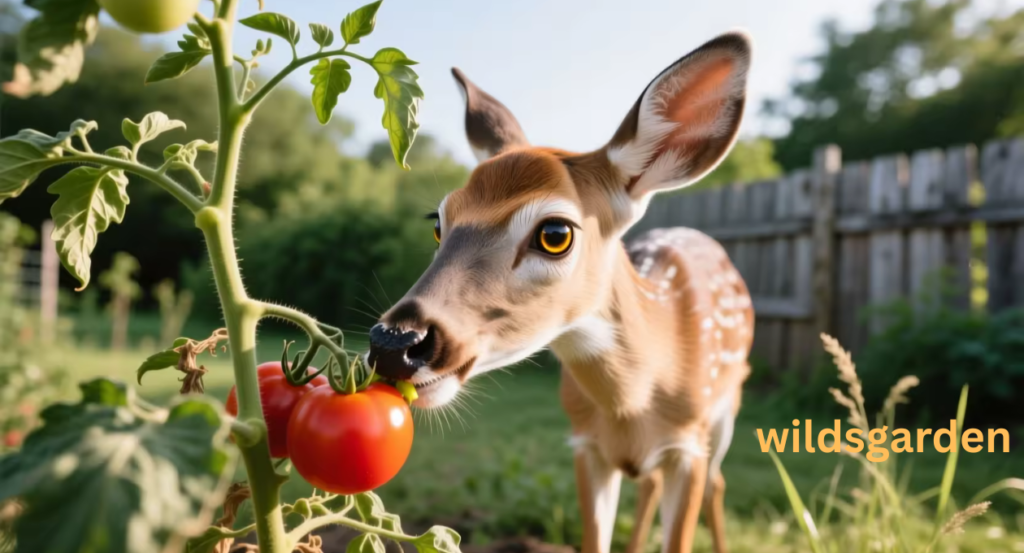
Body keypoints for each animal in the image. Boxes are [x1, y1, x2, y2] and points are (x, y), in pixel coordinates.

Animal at [366, 31, 755, 553]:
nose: (394, 344)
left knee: (717, 481)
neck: (632, 404)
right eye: (438, 223)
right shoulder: (584, 443)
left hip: (728, 405)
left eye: (555, 233)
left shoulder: (688, 445)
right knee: (650, 482)